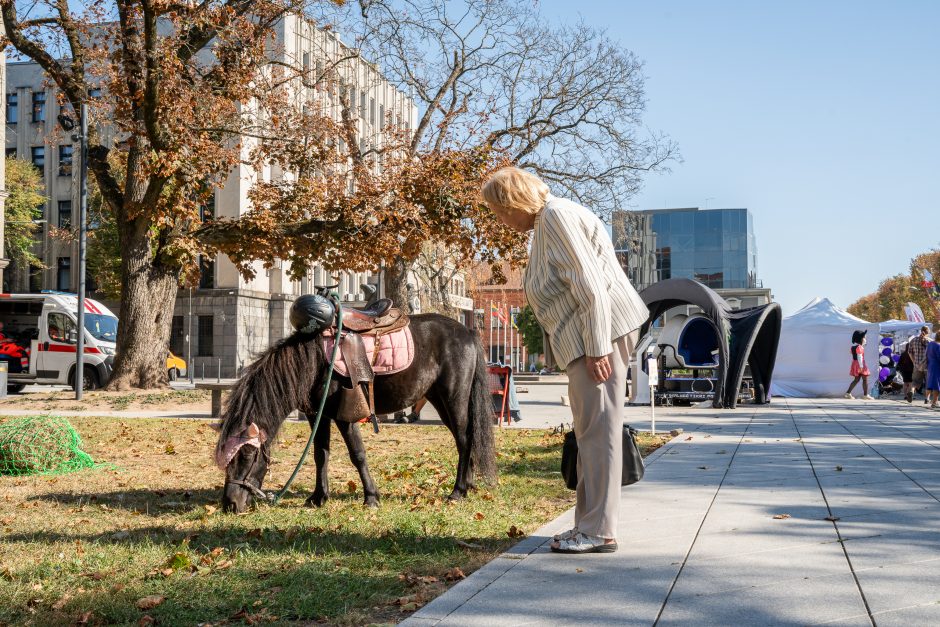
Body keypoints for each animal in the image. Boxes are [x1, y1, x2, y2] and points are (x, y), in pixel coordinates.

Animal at [211, 314, 492, 516]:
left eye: (247, 455)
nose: (230, 505)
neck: (315, 362)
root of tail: (468, 332)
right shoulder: (318, 415)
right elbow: (320, 455)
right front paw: (318, 497)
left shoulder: (345, 416)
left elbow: (357, 454)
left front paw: (371, 498)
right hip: (439, 400)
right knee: (464, 439)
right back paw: (468, 485)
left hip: (454, 398)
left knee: (465, 440)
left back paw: (457, 491)